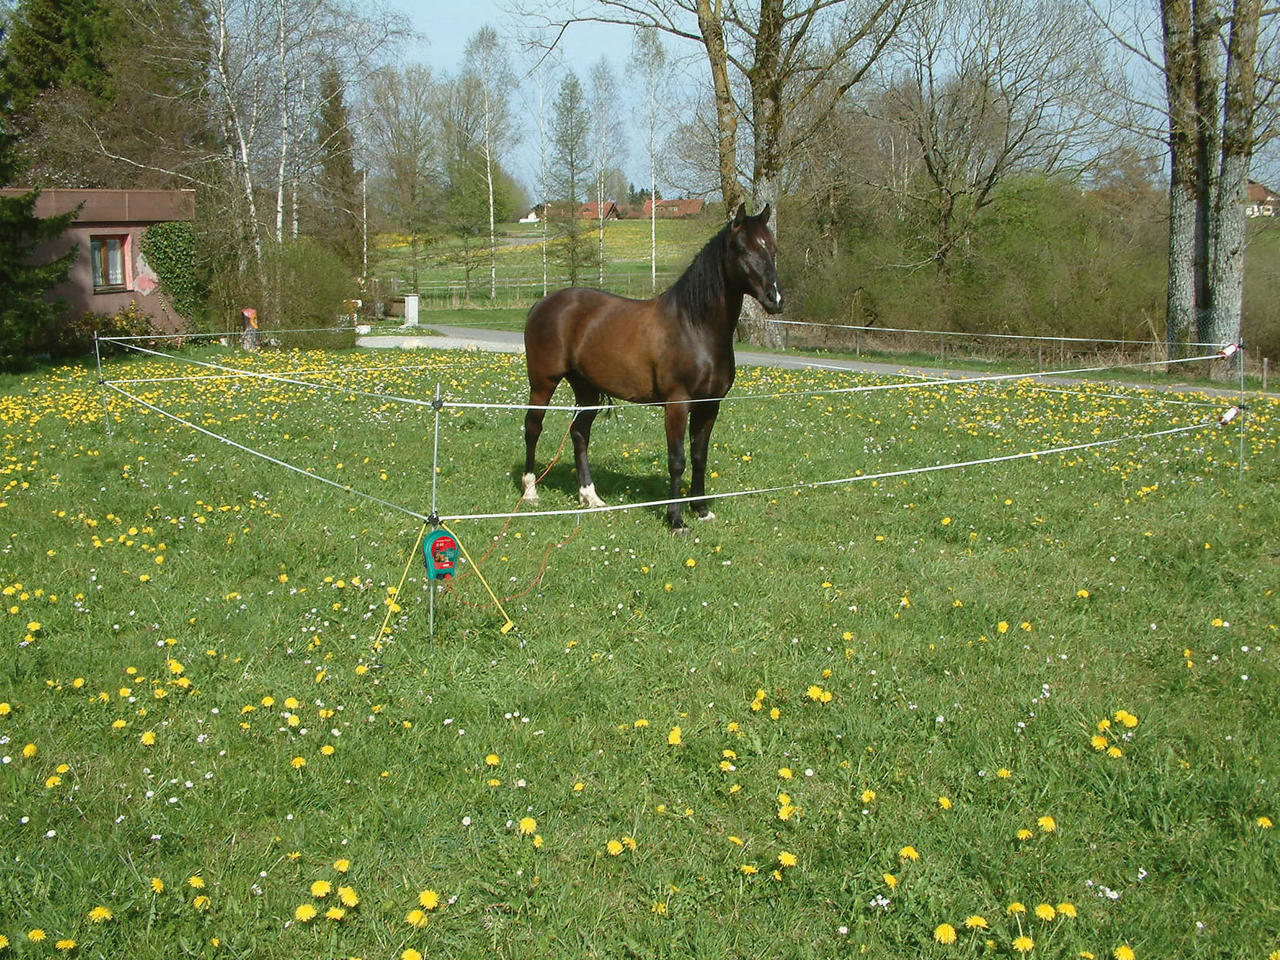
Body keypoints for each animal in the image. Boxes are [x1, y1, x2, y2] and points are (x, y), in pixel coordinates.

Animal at [520, 203, 783, 531]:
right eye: (743, 249)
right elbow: (677, 460)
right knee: (533, 427)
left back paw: (590, 497)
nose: (776, 299)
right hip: (543, 383)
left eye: (773, 248)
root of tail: (542, 304)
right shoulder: (677, 405)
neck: (694, 326)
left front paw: (701, 510)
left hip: (586, 390)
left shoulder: (710, 405)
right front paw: (676, 520)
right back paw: (530, 491)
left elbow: (699, 456)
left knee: (579, 433)